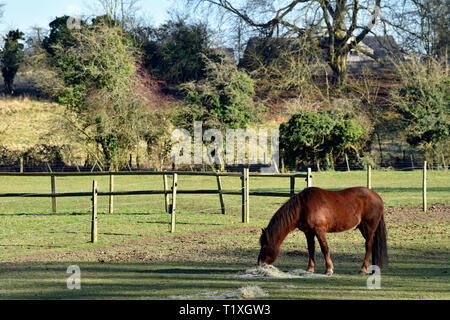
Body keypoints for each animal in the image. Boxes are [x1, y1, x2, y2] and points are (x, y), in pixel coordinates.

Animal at [258, 188, 388, 276]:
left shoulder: (319, 230)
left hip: (369, 228)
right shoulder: (308, 232)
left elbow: (324, 248)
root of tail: (377, 197)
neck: (303, 206)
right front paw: (310, 269)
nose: (259, 263)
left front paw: (329, 269)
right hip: (363, 228)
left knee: (369, 245)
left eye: (264, 245)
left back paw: (363, 269)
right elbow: (311, 249)